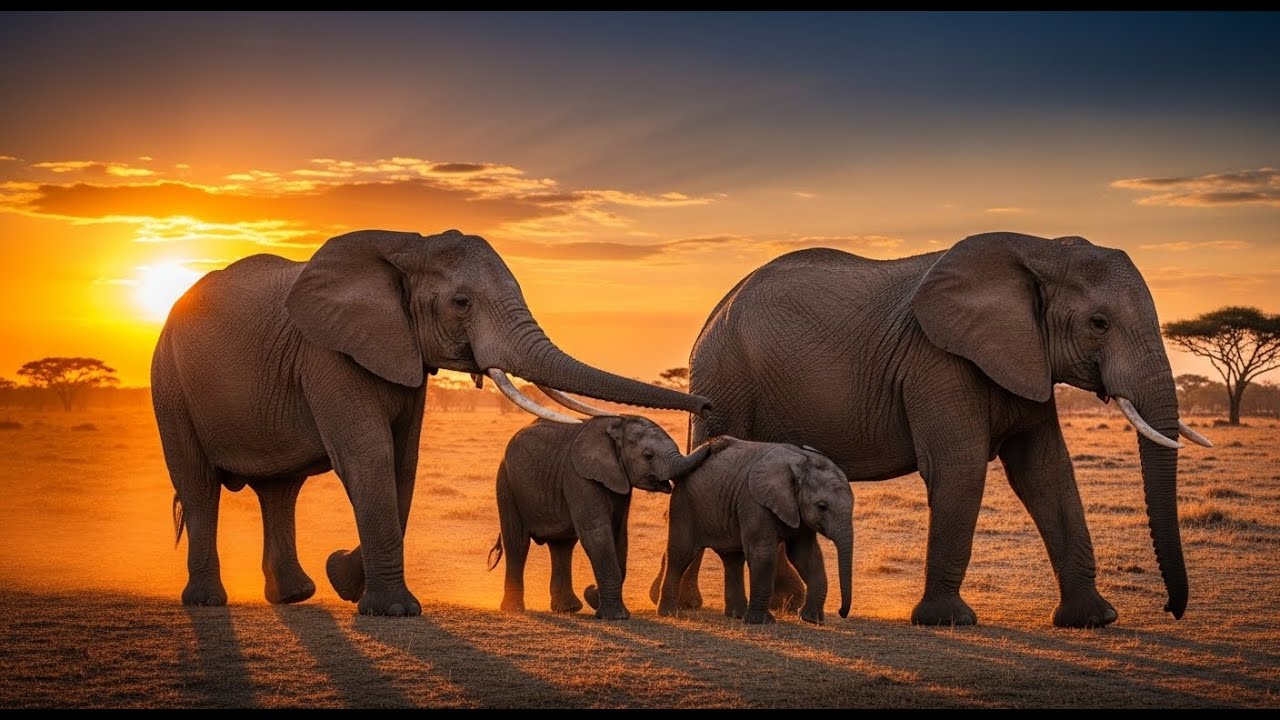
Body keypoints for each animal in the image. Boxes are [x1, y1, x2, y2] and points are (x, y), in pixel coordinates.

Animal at [486, 415, 720, 619]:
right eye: (648, 455)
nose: (715, 443)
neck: (616, 425)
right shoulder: (580, 477)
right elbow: (597, 534)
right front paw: (615, 616)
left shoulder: (619, 482)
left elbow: (619, 535)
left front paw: (594, 597)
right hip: (506, 483)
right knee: (517, 543)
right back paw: (514, 609)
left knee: (562, 546)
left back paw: (568, 608)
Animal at [656, 439, 853, 625]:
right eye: (822, 507)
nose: (842, 613)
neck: (802, 462)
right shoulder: (753, 501)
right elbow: (763, 553)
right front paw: (762, 622)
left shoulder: (798, 513)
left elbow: (806, 555)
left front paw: (811, 619)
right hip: (684, 503)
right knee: (681, 554)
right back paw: (670, 613)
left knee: (733, 558)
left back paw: (737, 615)